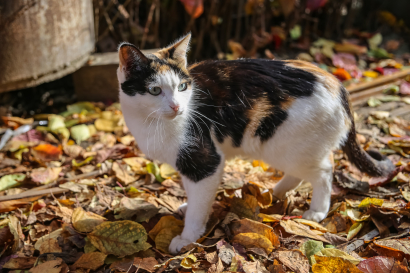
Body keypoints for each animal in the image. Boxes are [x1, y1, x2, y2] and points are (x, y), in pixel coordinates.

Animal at [115, 32, 394, 253]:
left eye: (182, 87)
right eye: (154, 90)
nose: (176, 106)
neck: (150, 123)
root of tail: (338, 85)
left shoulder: (205, 161)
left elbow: (199, 204)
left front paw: (187, 238)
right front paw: (187, 207)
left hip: (286, 145)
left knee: (325, 169)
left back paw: (317, 210)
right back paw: (275, 192)